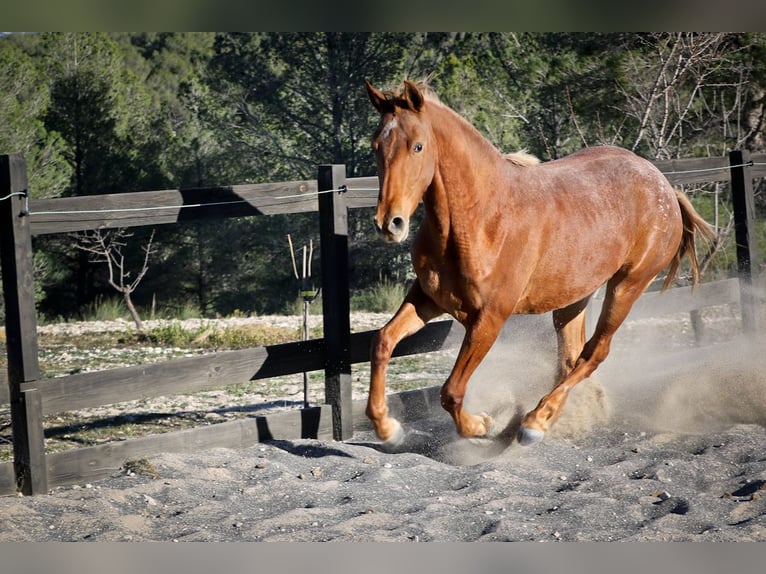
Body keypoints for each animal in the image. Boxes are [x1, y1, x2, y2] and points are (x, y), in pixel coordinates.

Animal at [366, 80, 712, 450]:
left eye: (418, 146)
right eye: (376, 145)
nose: (390, 223)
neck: (481, 218)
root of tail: (664, 186)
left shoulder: (489, 318)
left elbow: (452, 391)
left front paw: (480, 425)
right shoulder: (428, 299)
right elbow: (383, 342)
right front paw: (388, 429)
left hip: (627, 285)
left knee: (595, 352)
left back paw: (534, 424)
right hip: (575, 296)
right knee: (570, 358)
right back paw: (549, 418)